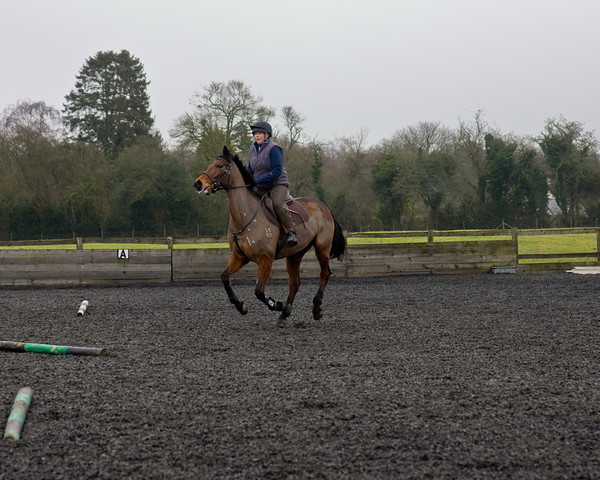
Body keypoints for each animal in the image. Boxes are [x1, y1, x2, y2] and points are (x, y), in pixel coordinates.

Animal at [195, 146, 344, 326]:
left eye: (219, 166)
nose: (198, 183)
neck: (246, 216)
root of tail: (323, 207)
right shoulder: (240, 256)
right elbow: (225, 277)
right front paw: (241, 306)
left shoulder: (265, 259)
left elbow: (259, 291)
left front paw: (276, 304)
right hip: (294, 255)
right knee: (295, 283)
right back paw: (284, 315)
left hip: (322, 248)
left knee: (325, 273)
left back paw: (316, 308)